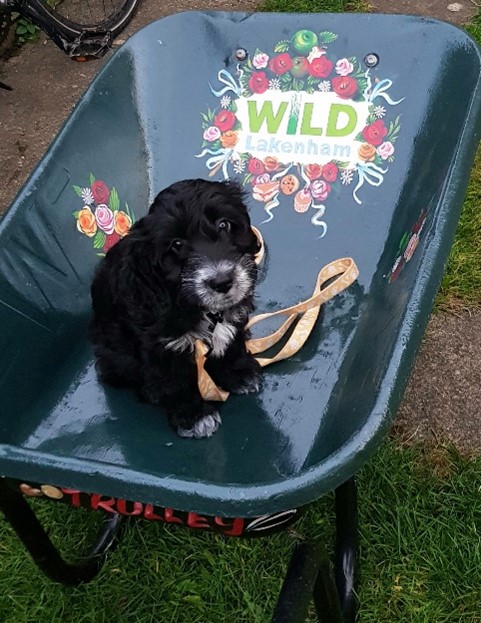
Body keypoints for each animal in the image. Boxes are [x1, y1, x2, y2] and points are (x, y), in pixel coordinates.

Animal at [90, 179, 262, 438]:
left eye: (224, 224)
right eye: (177, 245)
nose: (222, 282)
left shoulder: (233, 318)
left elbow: (231, 345)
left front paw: (240, 373)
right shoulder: (162, 348)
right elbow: (174, 382)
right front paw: (194, 416)